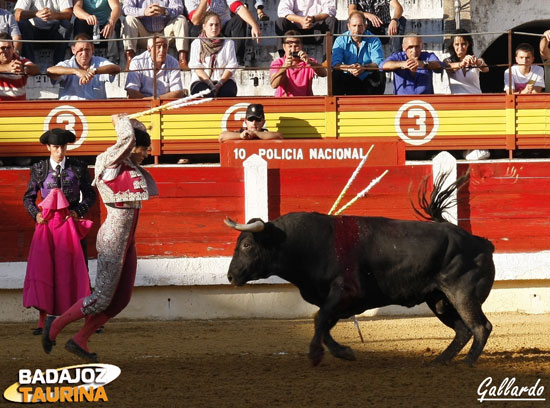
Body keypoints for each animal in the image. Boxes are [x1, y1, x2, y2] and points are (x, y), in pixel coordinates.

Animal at [224, 175, 496, 366]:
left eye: (247, 244)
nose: (230, 276)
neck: (307, 243)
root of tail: (480, 242)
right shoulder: (336, 300)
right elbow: (322, 322)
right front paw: (342, 352)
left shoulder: (345, 292)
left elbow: (320, 319)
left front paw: (318, 354)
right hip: (439, 300)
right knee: (463, 330)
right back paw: (440, 361)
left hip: (463, 295)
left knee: (480, 327)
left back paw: (467, 363)